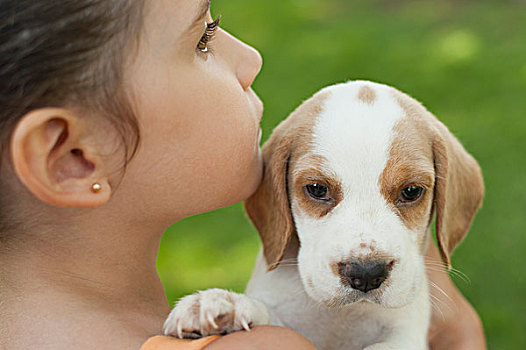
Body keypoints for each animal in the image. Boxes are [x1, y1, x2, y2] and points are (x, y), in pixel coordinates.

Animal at [165, 81, 486, 350]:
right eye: (317, 189)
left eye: (411, 191)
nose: (366, 273)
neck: (342, 317)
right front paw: (225, 306)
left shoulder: (406, 332)